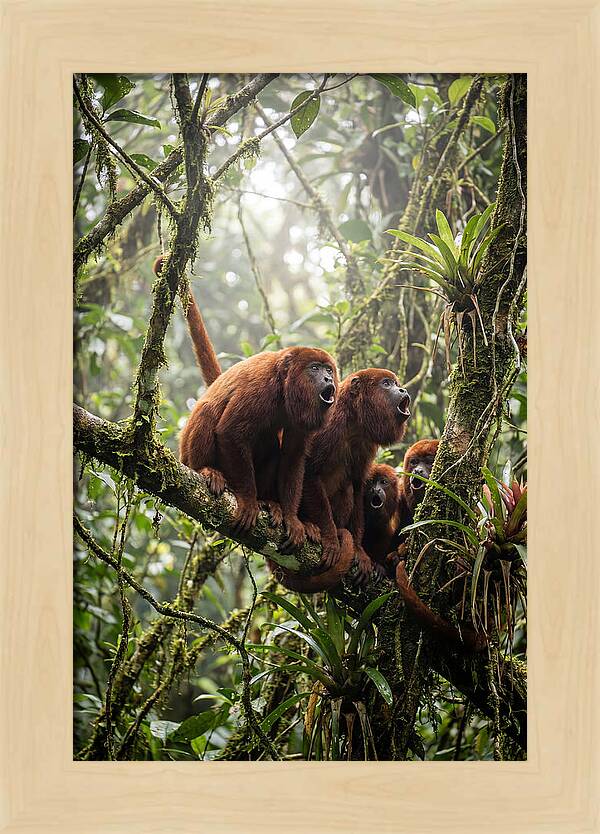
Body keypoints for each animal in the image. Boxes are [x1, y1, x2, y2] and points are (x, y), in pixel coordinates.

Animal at [153, 256, 339, 545]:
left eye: (329, 369)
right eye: (315, 369)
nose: (329, 379)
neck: (284, 387)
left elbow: (293, 457)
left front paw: (291, 518)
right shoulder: (260, 388)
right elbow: (230, 431)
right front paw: (249, 501)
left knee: (272, 444)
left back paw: (270, 503)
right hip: (187, 455)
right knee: (208, 412)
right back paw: (208, 471)